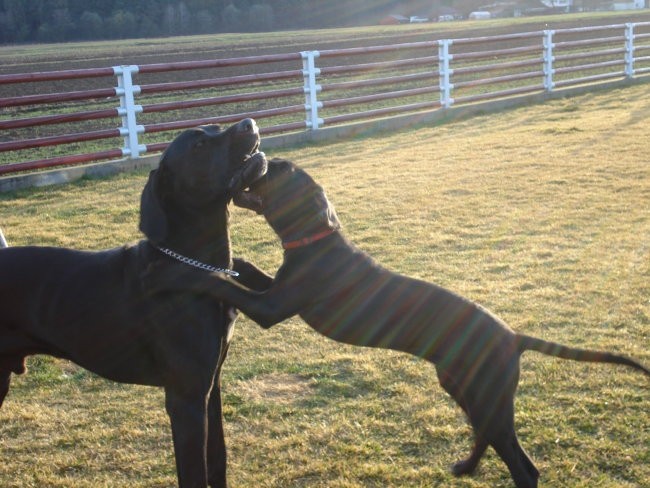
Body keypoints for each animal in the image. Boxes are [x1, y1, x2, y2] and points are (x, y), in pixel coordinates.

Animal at [0, 120, 270, 488]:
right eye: (199, 145)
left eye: (214, 128)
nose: (249, 123)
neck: (197, 262)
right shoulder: (186, 398)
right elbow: (194, 472)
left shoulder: (210, 384)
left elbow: (218, 458)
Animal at [147, 157, 648, 488]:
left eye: (279, 170)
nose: (259, 156)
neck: (314, 239)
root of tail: (513, 336)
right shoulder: (274, 291)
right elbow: (245, 272)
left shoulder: (272, 308)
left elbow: (225, 284)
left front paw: (178, 273)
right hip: (465, 389)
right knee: (491, 437)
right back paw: (466, 468)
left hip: (485, 394)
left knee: (524, 467)